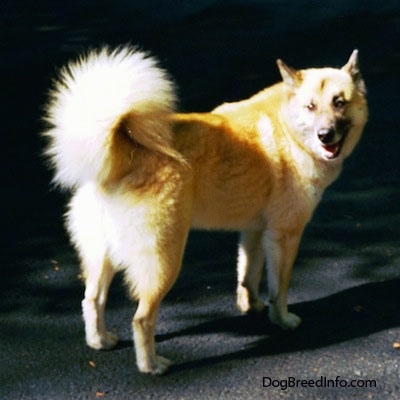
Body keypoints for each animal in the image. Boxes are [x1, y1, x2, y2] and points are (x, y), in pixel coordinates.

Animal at [42, 47, 368, 376]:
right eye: (310, 107)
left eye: (339, 103)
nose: (326, 135)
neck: (288, 130)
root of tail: (123, 148)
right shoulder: (285, 235)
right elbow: (280, 287)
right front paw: (282, 320)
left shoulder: (254, 231)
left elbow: (247, 275)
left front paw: (251, 307)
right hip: (165, 261)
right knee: (142, 318)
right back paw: (151, 365)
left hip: (103, 256)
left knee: (92, 299)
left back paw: (100, 341)